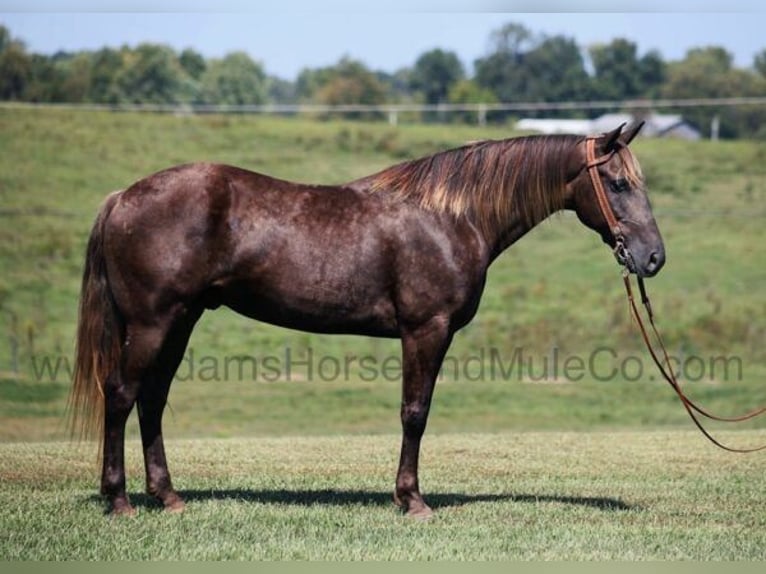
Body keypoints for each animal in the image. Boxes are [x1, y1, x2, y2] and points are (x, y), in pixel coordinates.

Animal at [69, 120, 664, 516]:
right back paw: (118, 500)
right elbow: (415, 413)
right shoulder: (426, 330)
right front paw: (412, 500)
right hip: (153, 322)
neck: (450, 216)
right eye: (618, 184)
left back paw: (168, 496)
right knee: (121, 394)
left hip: (182, 319)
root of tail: (123, 197)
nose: (653, 257)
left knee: (152, 399)